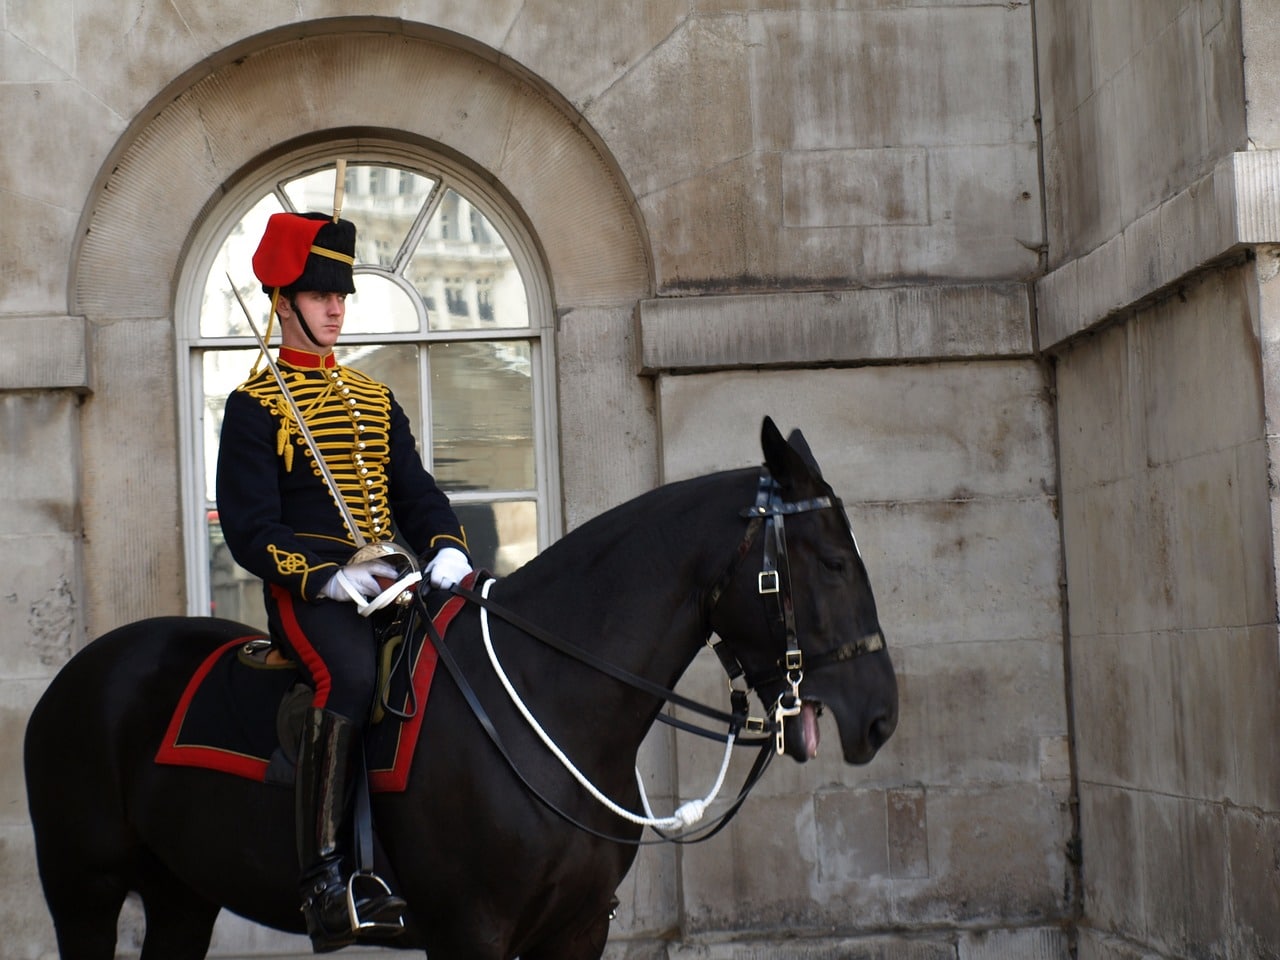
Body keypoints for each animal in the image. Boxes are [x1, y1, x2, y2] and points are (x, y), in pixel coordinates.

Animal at [22, 419, 901, 960]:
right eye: (833, 562)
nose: (882, 717)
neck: (555, 701)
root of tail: (76, 674)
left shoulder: (577, 929)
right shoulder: (470, 931)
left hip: (180, 893)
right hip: (84, 890)